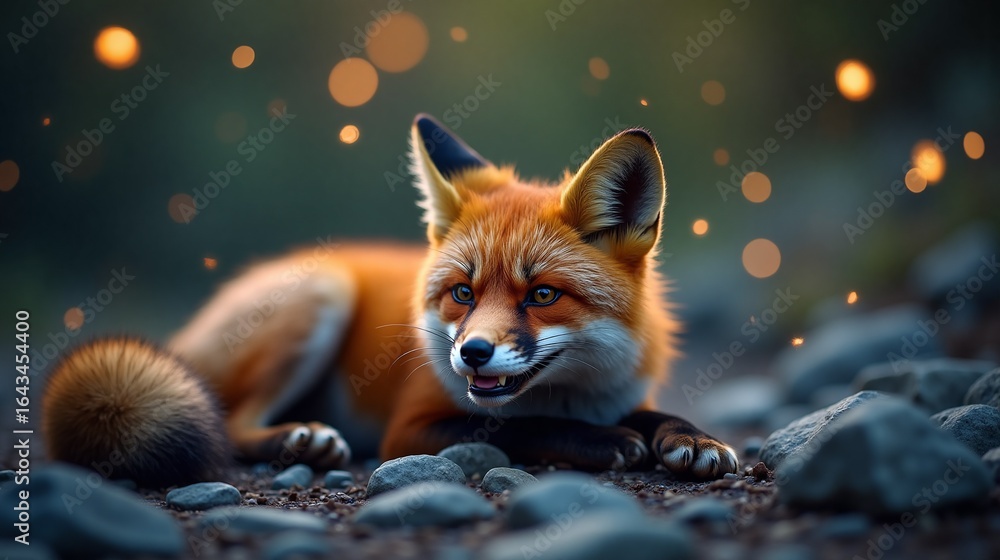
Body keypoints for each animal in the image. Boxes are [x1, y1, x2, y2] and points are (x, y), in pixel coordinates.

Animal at [41, 115, 739, 488]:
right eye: (463, 293)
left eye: (543, 294)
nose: (472, 353)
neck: (573, 395)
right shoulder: (411, 429)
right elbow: (520, 427)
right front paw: (601, 442)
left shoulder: (624, 394)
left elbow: (654, 417)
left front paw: (693, 440)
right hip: (320, 295)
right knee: (230, 423)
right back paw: (299, 440)